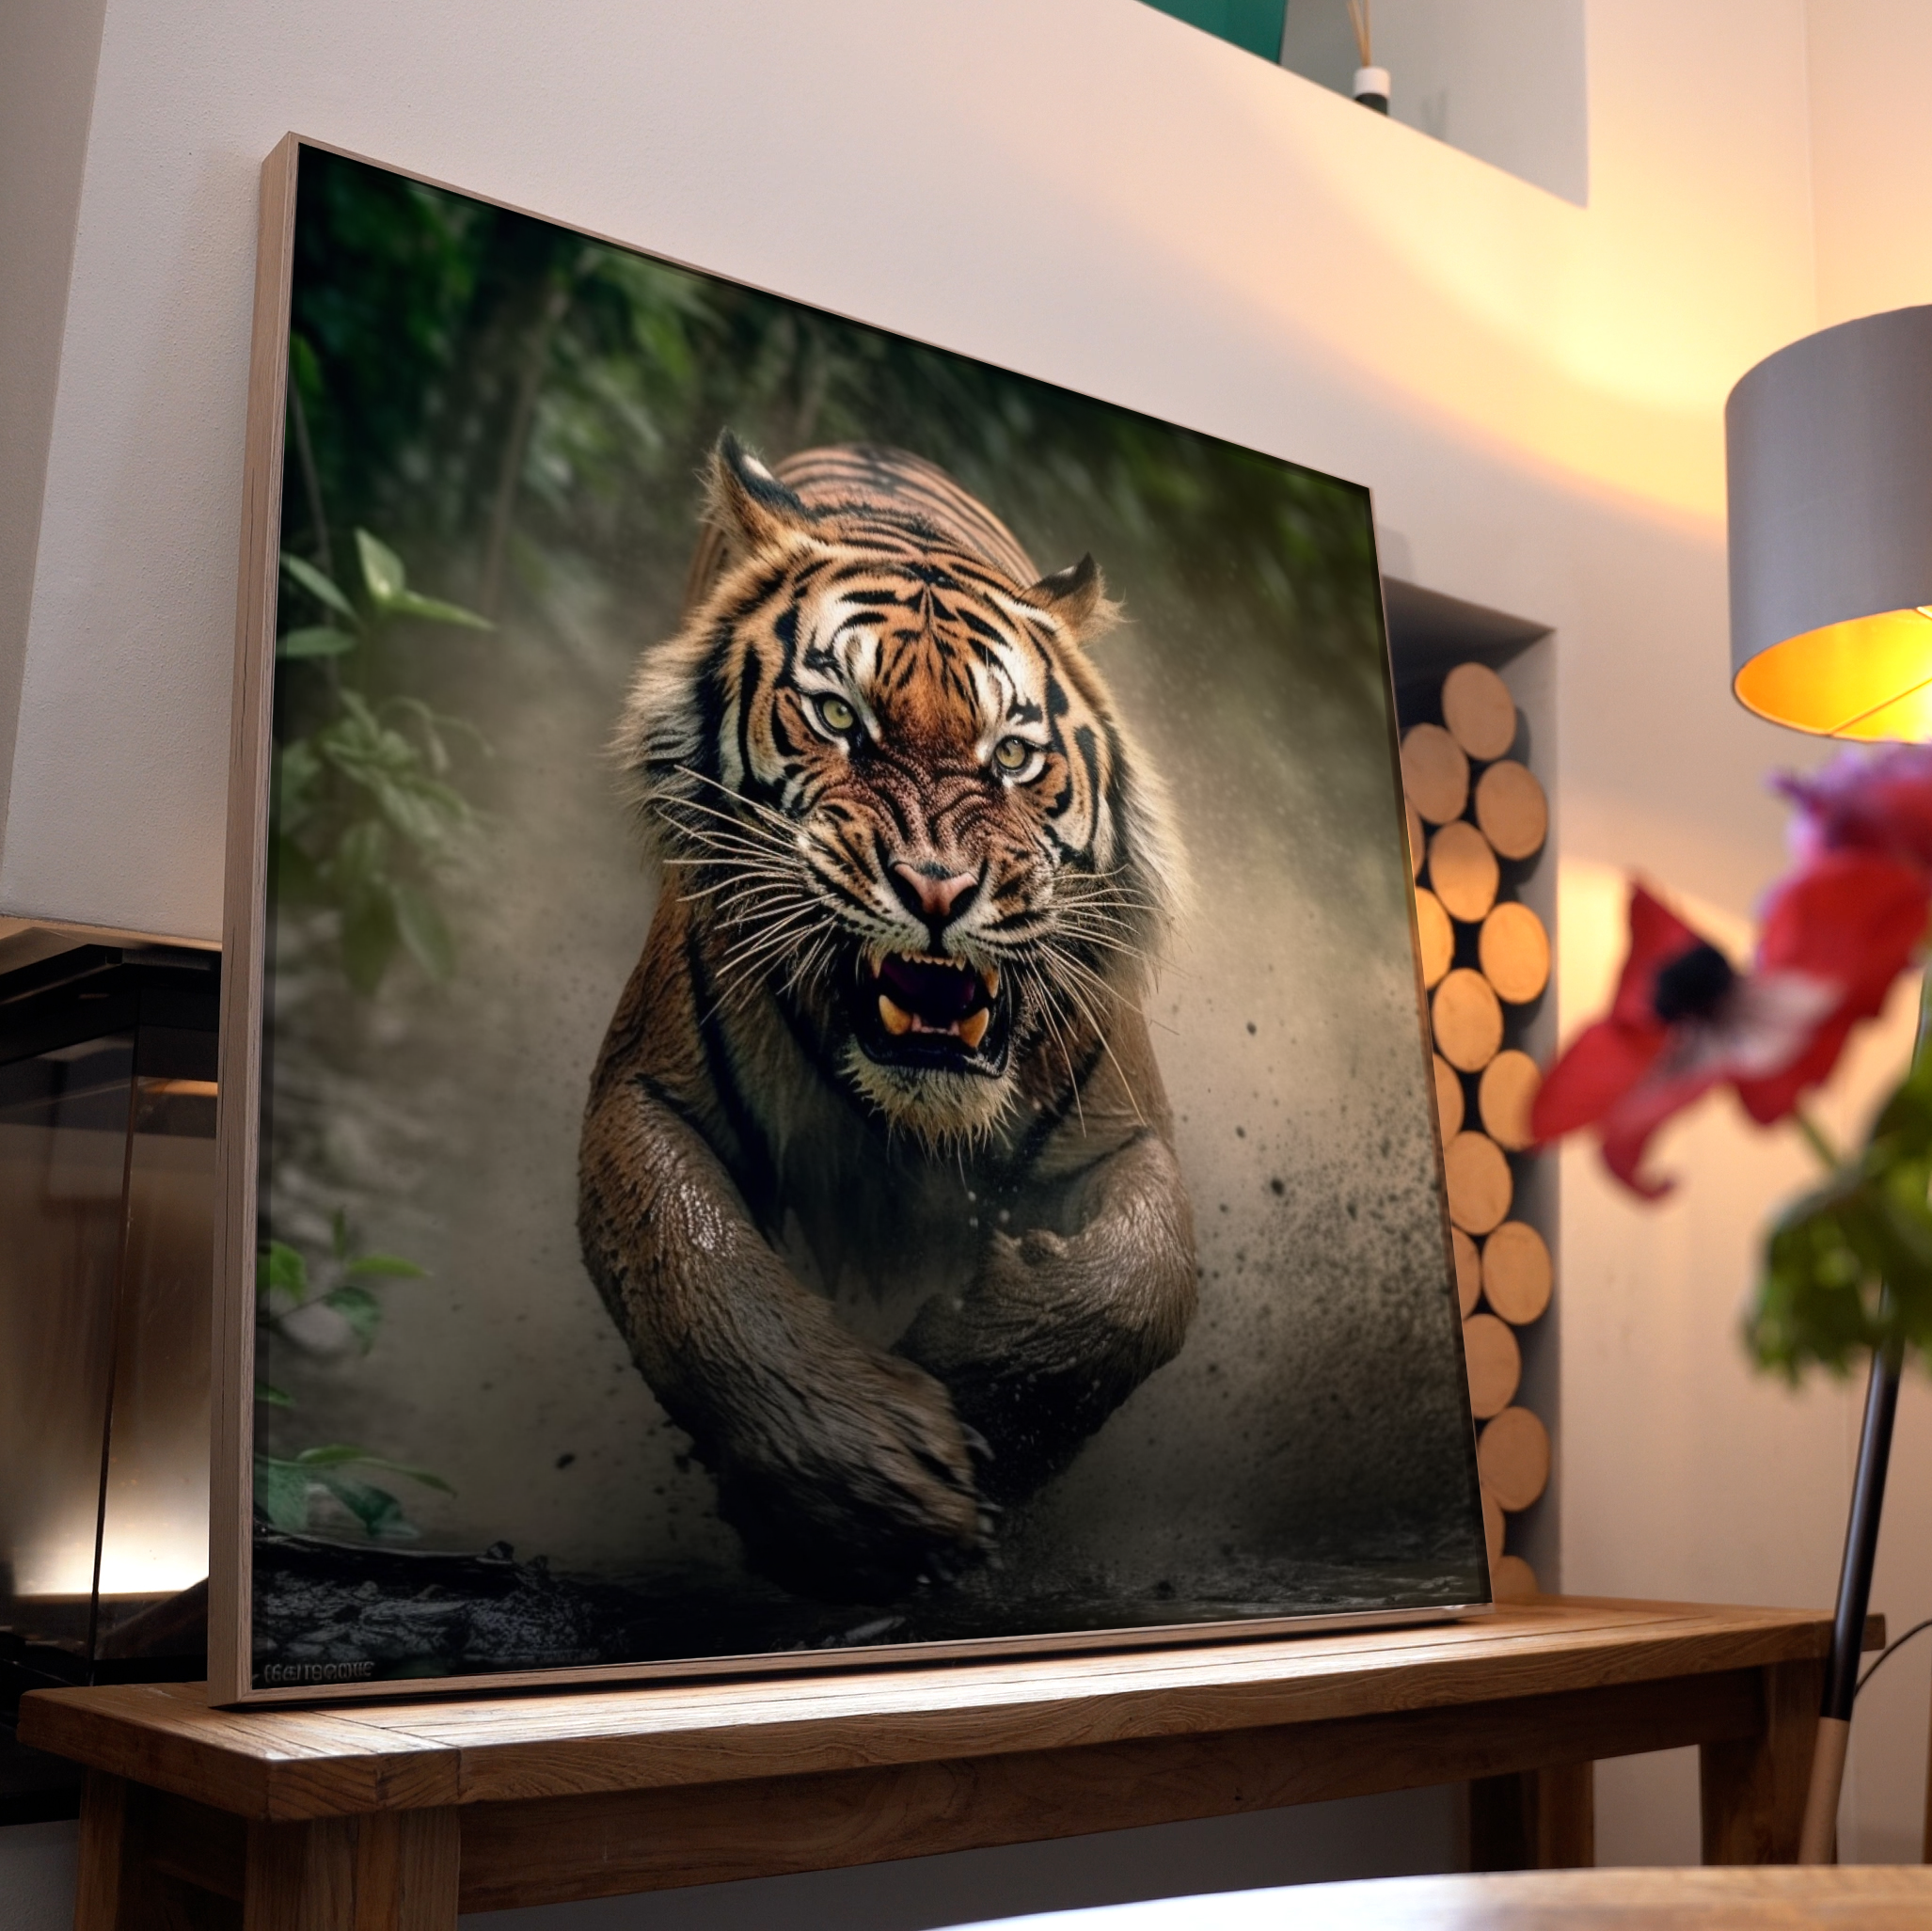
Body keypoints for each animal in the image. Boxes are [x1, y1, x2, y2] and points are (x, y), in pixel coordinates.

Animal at [577, 432, 1198, 1604]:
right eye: (837, 719)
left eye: (1012, 754)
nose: (937, 889)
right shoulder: (644, 1094)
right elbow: (702, 1281)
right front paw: (870, 1498)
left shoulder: (1127, 1129)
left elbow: (1136, 1287)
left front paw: (980, 1389)